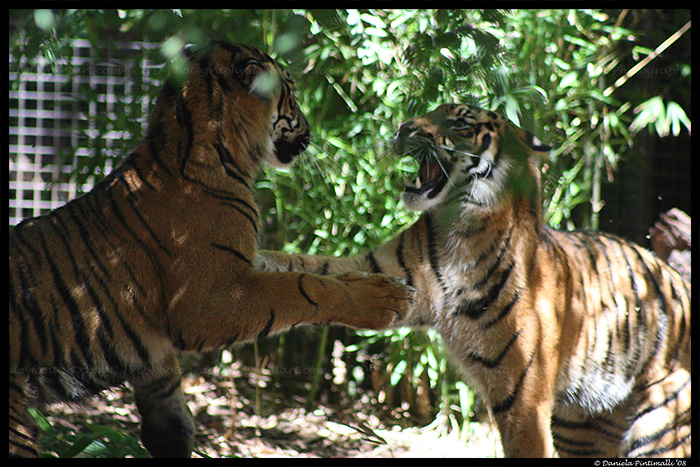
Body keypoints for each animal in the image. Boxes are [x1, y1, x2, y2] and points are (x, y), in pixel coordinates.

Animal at [8, 42, 416, 458]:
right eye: (291, 92)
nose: (311, 130)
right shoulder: (209, 300)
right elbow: (302, 287)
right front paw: (384, 299)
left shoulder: (241, 261)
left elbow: (300, 264)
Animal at [256, 104, 688, 458]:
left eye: (460, 123)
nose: (403, 127)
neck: (459, 227)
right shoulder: (387, 272)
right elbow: (312, 269)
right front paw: (256, 258)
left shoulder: (524, 400)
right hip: (582, 430)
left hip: (659, 427)